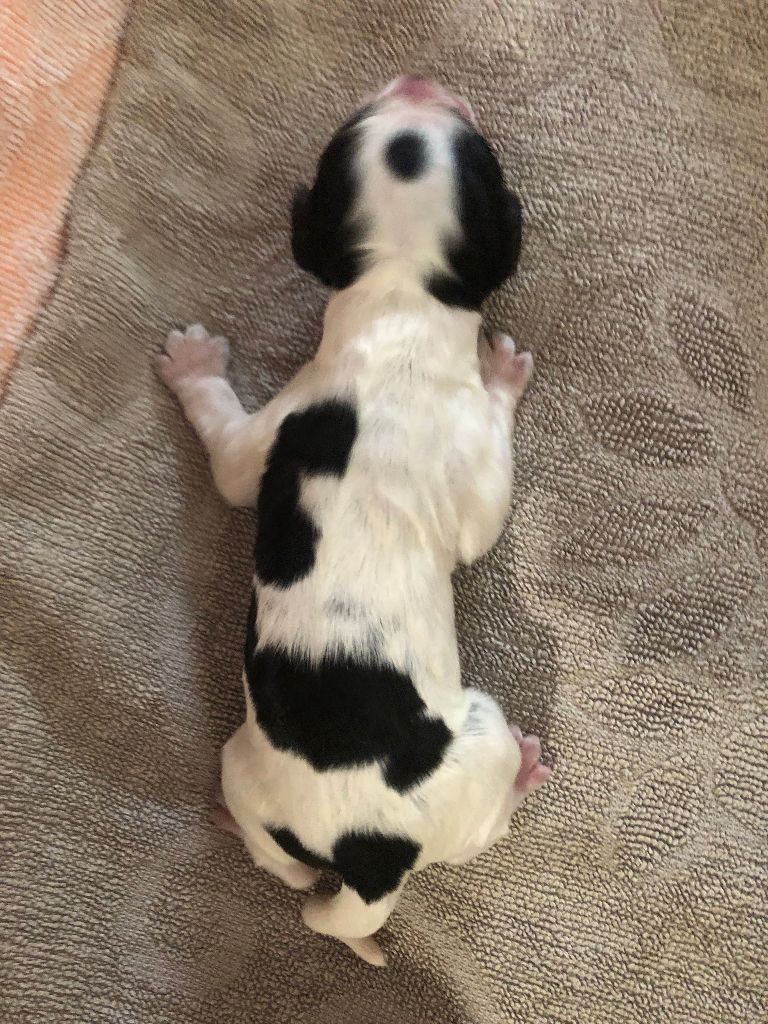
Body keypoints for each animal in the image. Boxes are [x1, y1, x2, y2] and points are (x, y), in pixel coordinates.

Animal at [157, 75, 551, 966]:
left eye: (351, 133)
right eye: (481, 152)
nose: (419, 80)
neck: (399, 297)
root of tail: (369, 862)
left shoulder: (278, 425)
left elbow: (232, 465)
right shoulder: (471, 465)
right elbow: (487, 509)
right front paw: (502, 373)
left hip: (242, 768)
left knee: (287, 867)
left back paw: (241, 833)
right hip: (482, 730)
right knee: (490, 815)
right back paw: (527, 770)